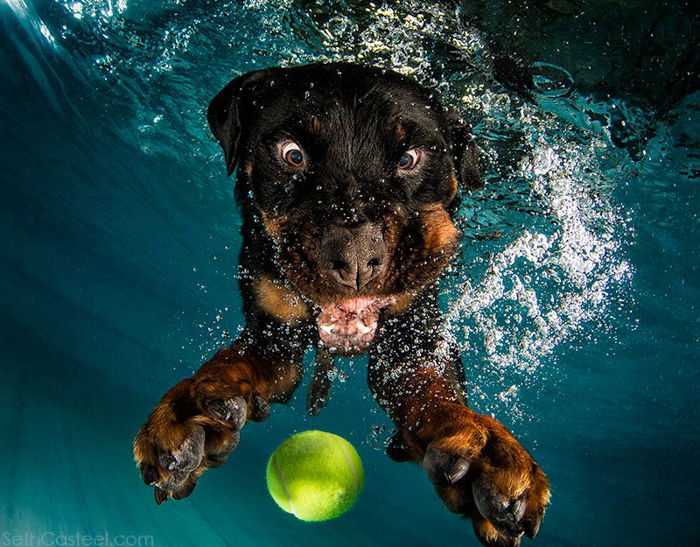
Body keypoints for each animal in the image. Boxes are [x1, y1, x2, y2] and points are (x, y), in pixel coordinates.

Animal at [134, 62, 548, 544]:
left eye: (409, 159)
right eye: (292, 155)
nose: (354, 258)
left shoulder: (411, 343)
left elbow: (434, 391)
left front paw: (480, 445)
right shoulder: (274, 337)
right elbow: (231, 362)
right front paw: (192, 408)